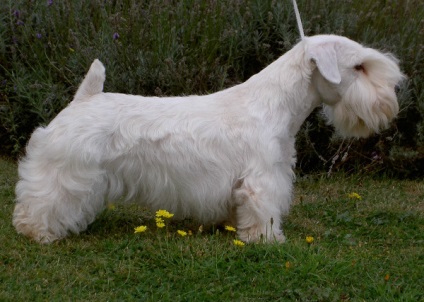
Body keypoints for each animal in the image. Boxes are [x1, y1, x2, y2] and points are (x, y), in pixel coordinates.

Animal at [13, 34, 404, 243]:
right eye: (359, 67)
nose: (391, 99)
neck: (275, 102)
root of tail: (84, 97)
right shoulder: (263, 179)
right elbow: (265, 210)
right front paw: (268, 240)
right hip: (68, 172)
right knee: (43, 201)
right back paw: (37, 231)